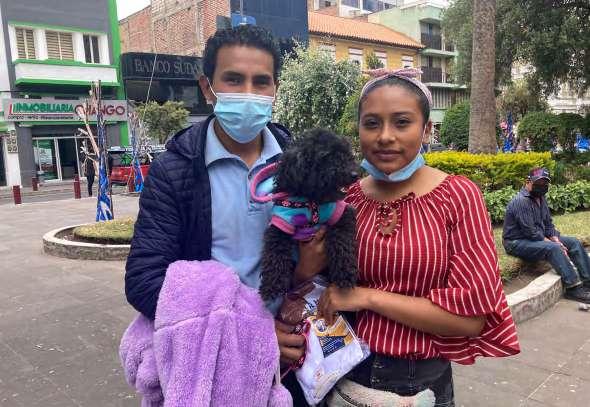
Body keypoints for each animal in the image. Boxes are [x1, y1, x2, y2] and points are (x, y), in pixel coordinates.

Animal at [254, 128, 359, 302]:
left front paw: (345, 273)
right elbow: (275, 252)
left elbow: (342, 241)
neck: (312, 200)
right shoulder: (281, 222)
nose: (354, 174)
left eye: (347, 154)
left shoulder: (340, 213)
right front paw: (271, 285)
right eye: (327, 157)